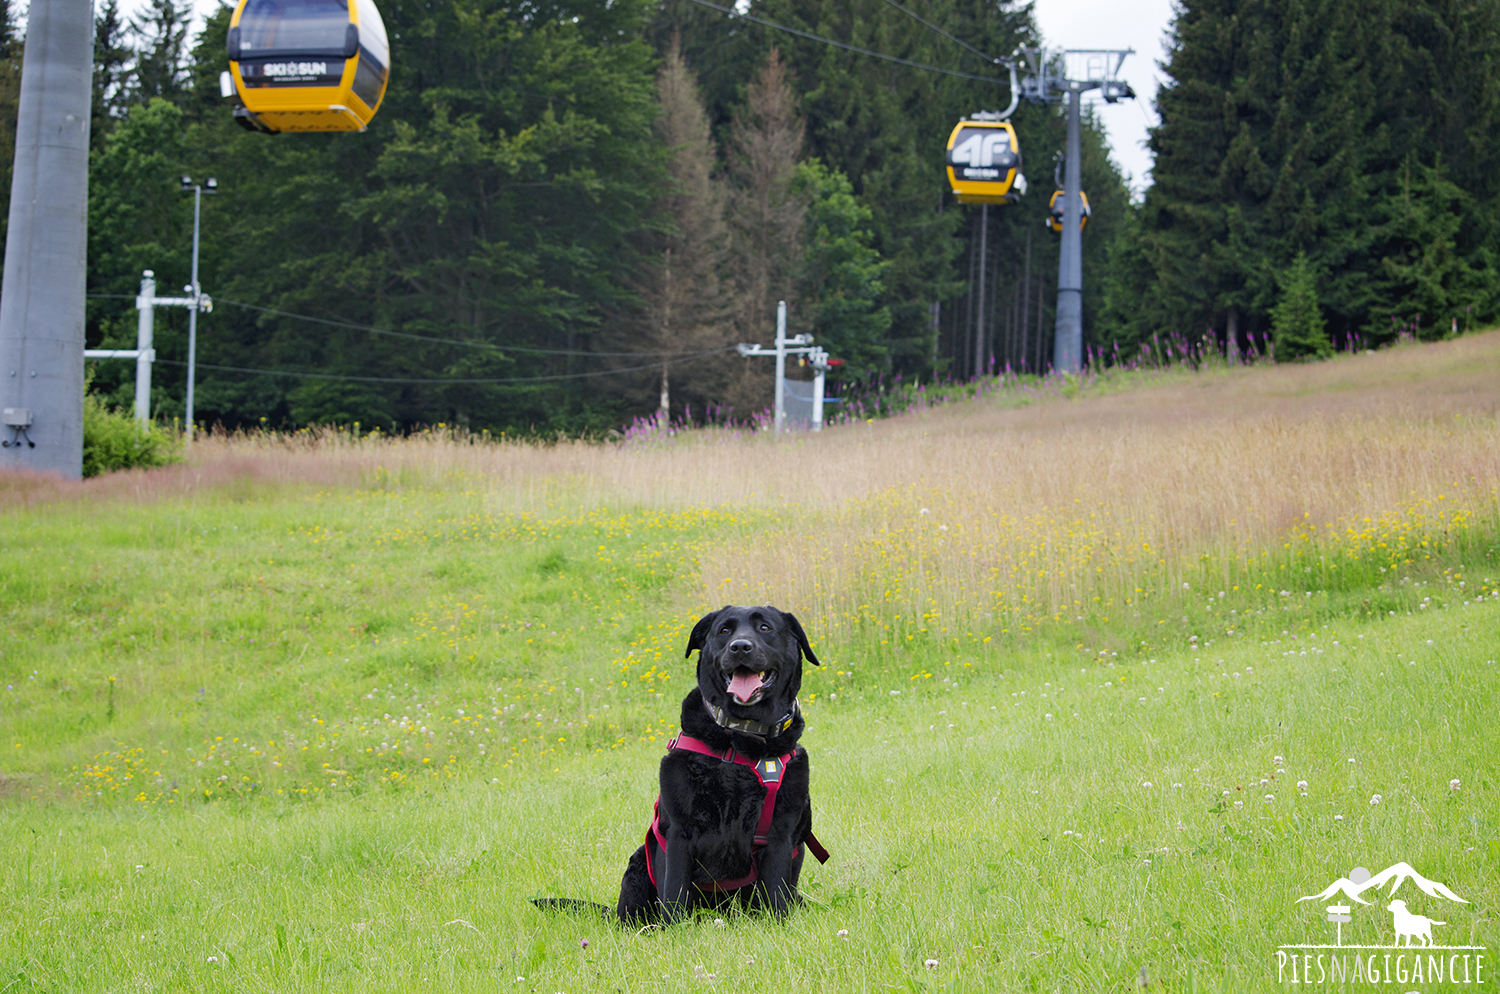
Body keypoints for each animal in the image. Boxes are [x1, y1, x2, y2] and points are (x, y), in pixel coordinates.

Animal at [612, 605, 834, 923]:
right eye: (724, 631)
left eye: (765, 628)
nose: (740, 646)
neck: (741, 737)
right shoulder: (679, 830)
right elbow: (675, 890)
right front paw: (676, 930)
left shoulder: (781, 832)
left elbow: (776, 891)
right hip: (640, 862)